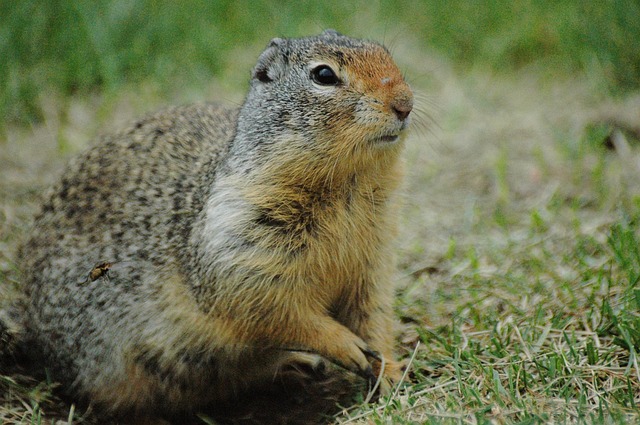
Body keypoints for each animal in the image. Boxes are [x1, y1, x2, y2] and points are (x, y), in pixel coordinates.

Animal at [13, 30, 413, 423]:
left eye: (385, 53)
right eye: (324, 75)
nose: (405, 104)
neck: (348, 187)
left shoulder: (373, 259)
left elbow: (373, 314)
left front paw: (391, 373)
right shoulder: (240, 246)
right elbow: (275, 310)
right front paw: (349, 348)